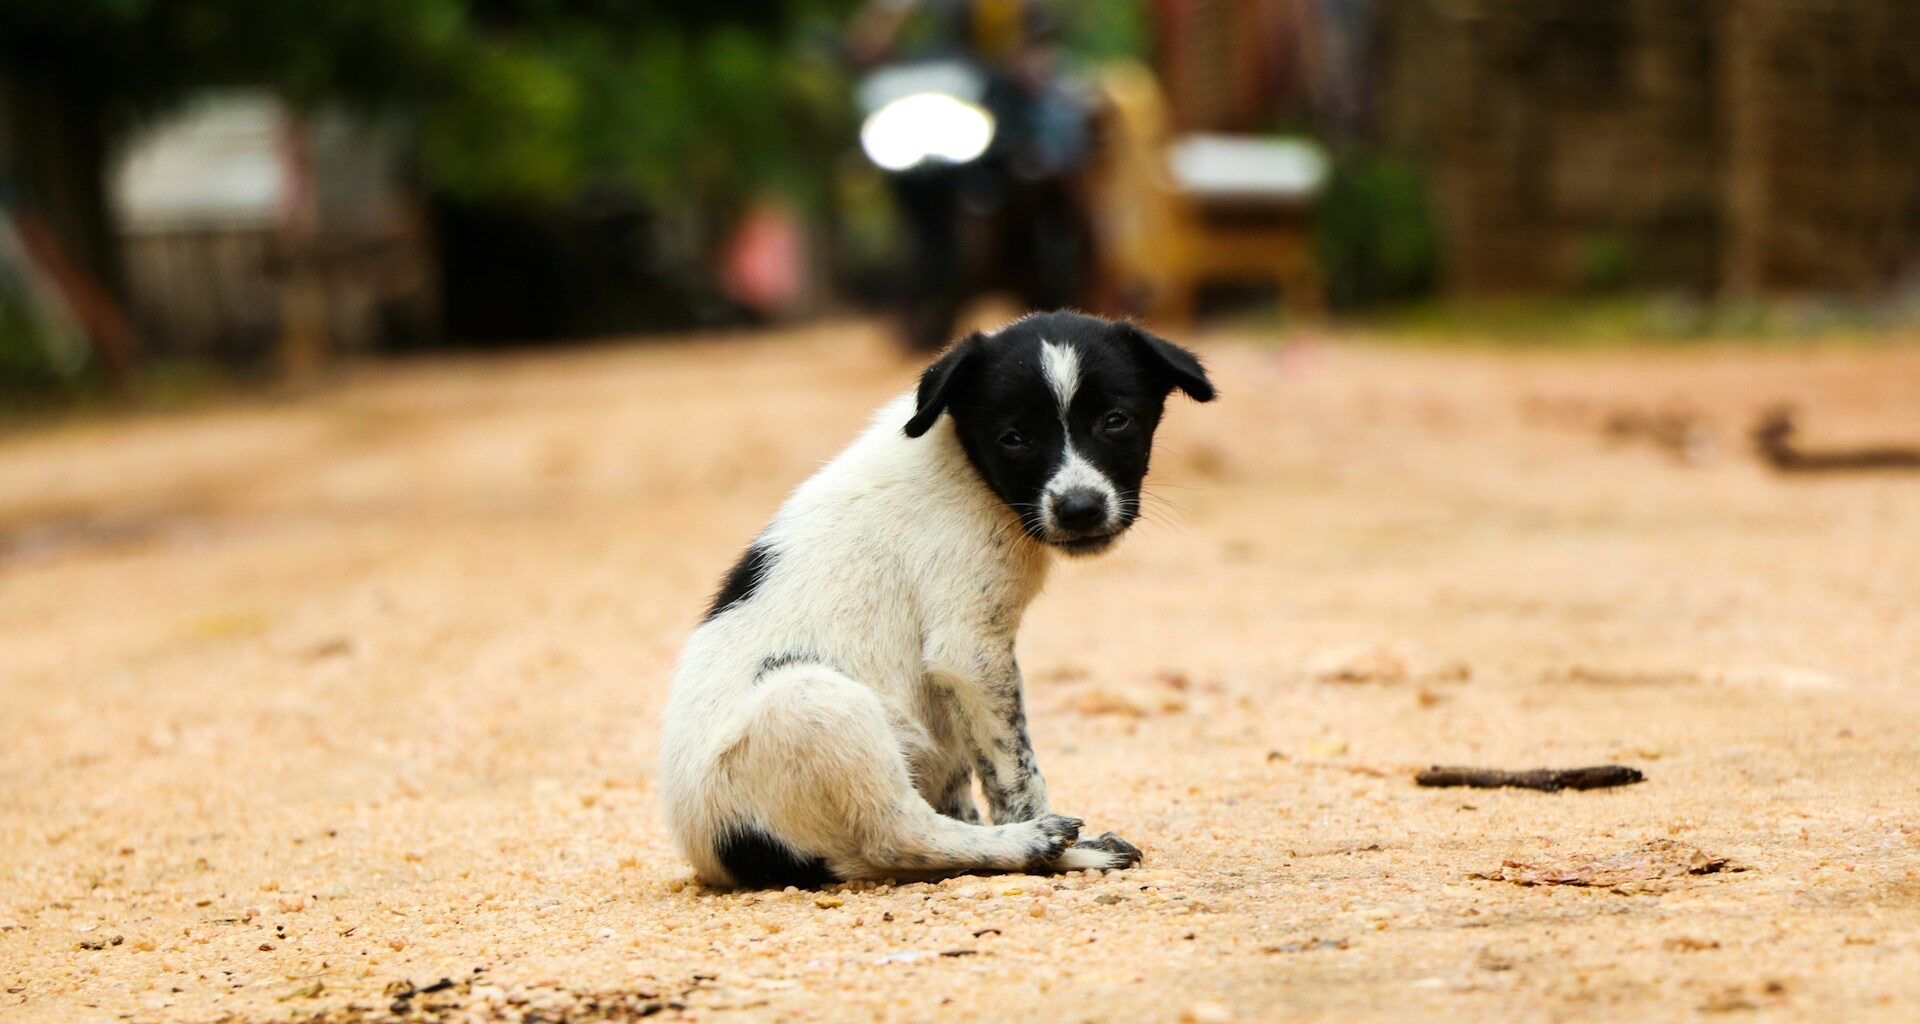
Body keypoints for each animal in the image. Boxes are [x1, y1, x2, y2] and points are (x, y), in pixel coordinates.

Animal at [656, 311, 1198, 887]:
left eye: (1117, 421)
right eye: (1014, 438)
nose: (1080, 509)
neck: (966, 465)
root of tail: (715, 854)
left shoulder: (951, 687)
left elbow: (972, 775)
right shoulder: (969, 651)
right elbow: (1016, 773)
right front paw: (1046, 838)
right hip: (813, 701)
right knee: (898, 835)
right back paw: (1039, 845)